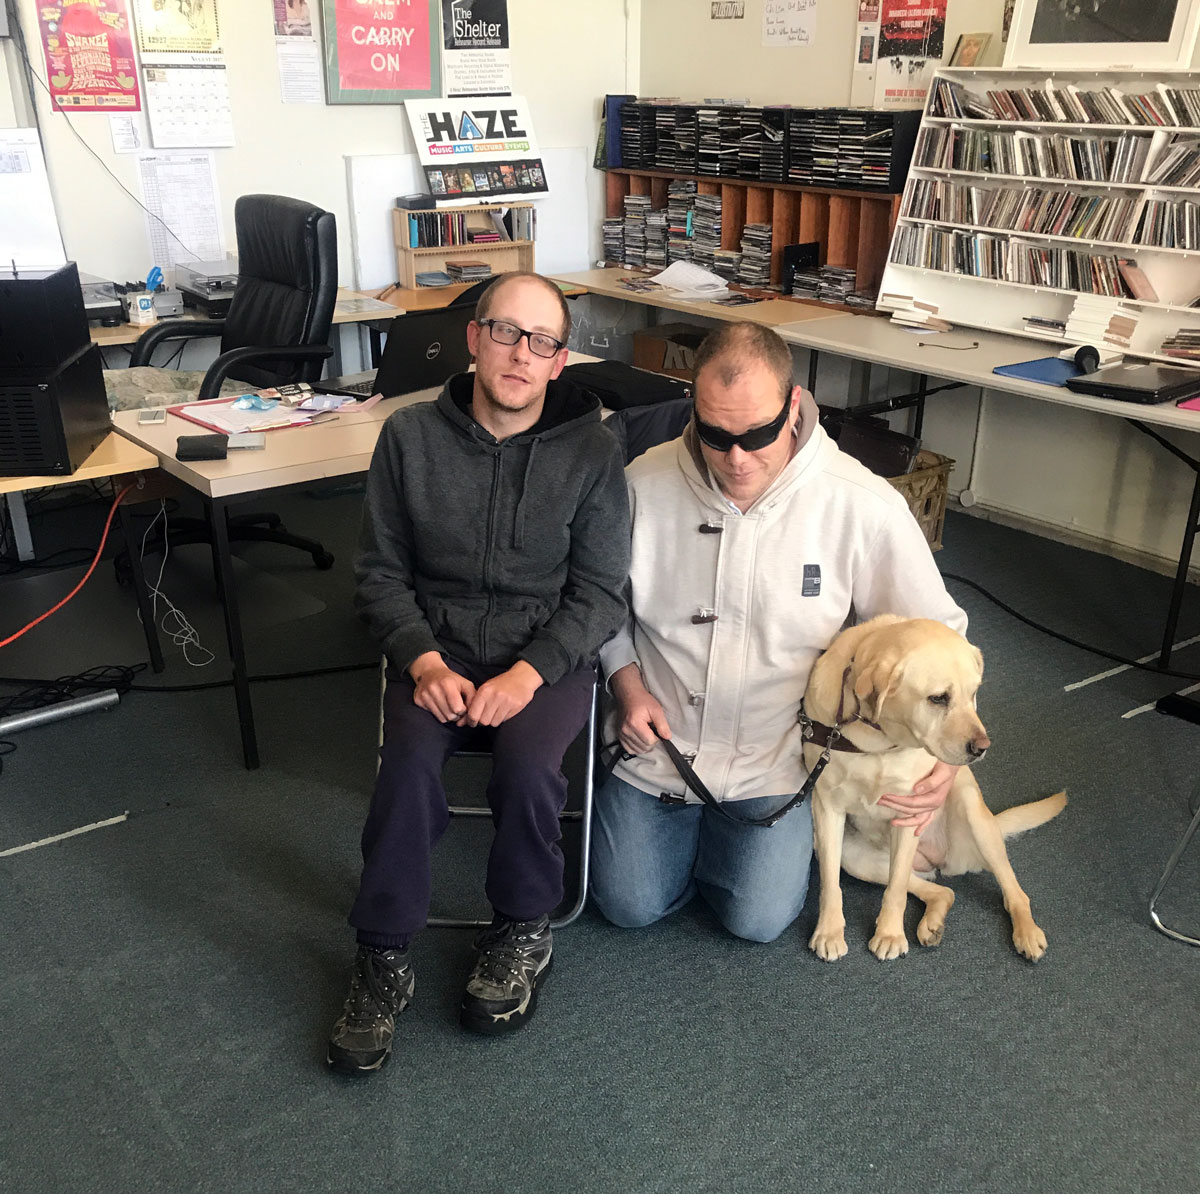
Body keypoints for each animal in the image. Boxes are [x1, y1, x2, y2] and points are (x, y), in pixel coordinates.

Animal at [801, 614, 1065, 960]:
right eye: (938, 698)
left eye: (974, 693)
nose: (982, 747)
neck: (879, 742)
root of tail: (938, 861)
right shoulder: (827, 807)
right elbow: (830, 883)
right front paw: (829, 932)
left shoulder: (910, 811)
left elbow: (896, 888)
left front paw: (889, 934)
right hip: (856, 858)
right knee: (942, 891)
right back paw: (932, 923)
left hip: (974, 815)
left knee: (1014, 892)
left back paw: (1027, 933)